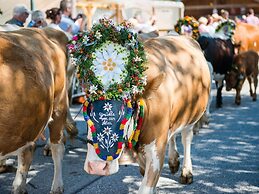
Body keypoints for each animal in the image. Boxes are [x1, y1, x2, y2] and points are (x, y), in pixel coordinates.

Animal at [84, 35, 212, 193]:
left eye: (125, 112)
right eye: (87, 113)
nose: (96, 167)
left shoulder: (157, 149)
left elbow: (146, 187)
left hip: (191, 117)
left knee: (186, 138)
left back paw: (186, 172)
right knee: (173, 135)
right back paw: (173, 161)